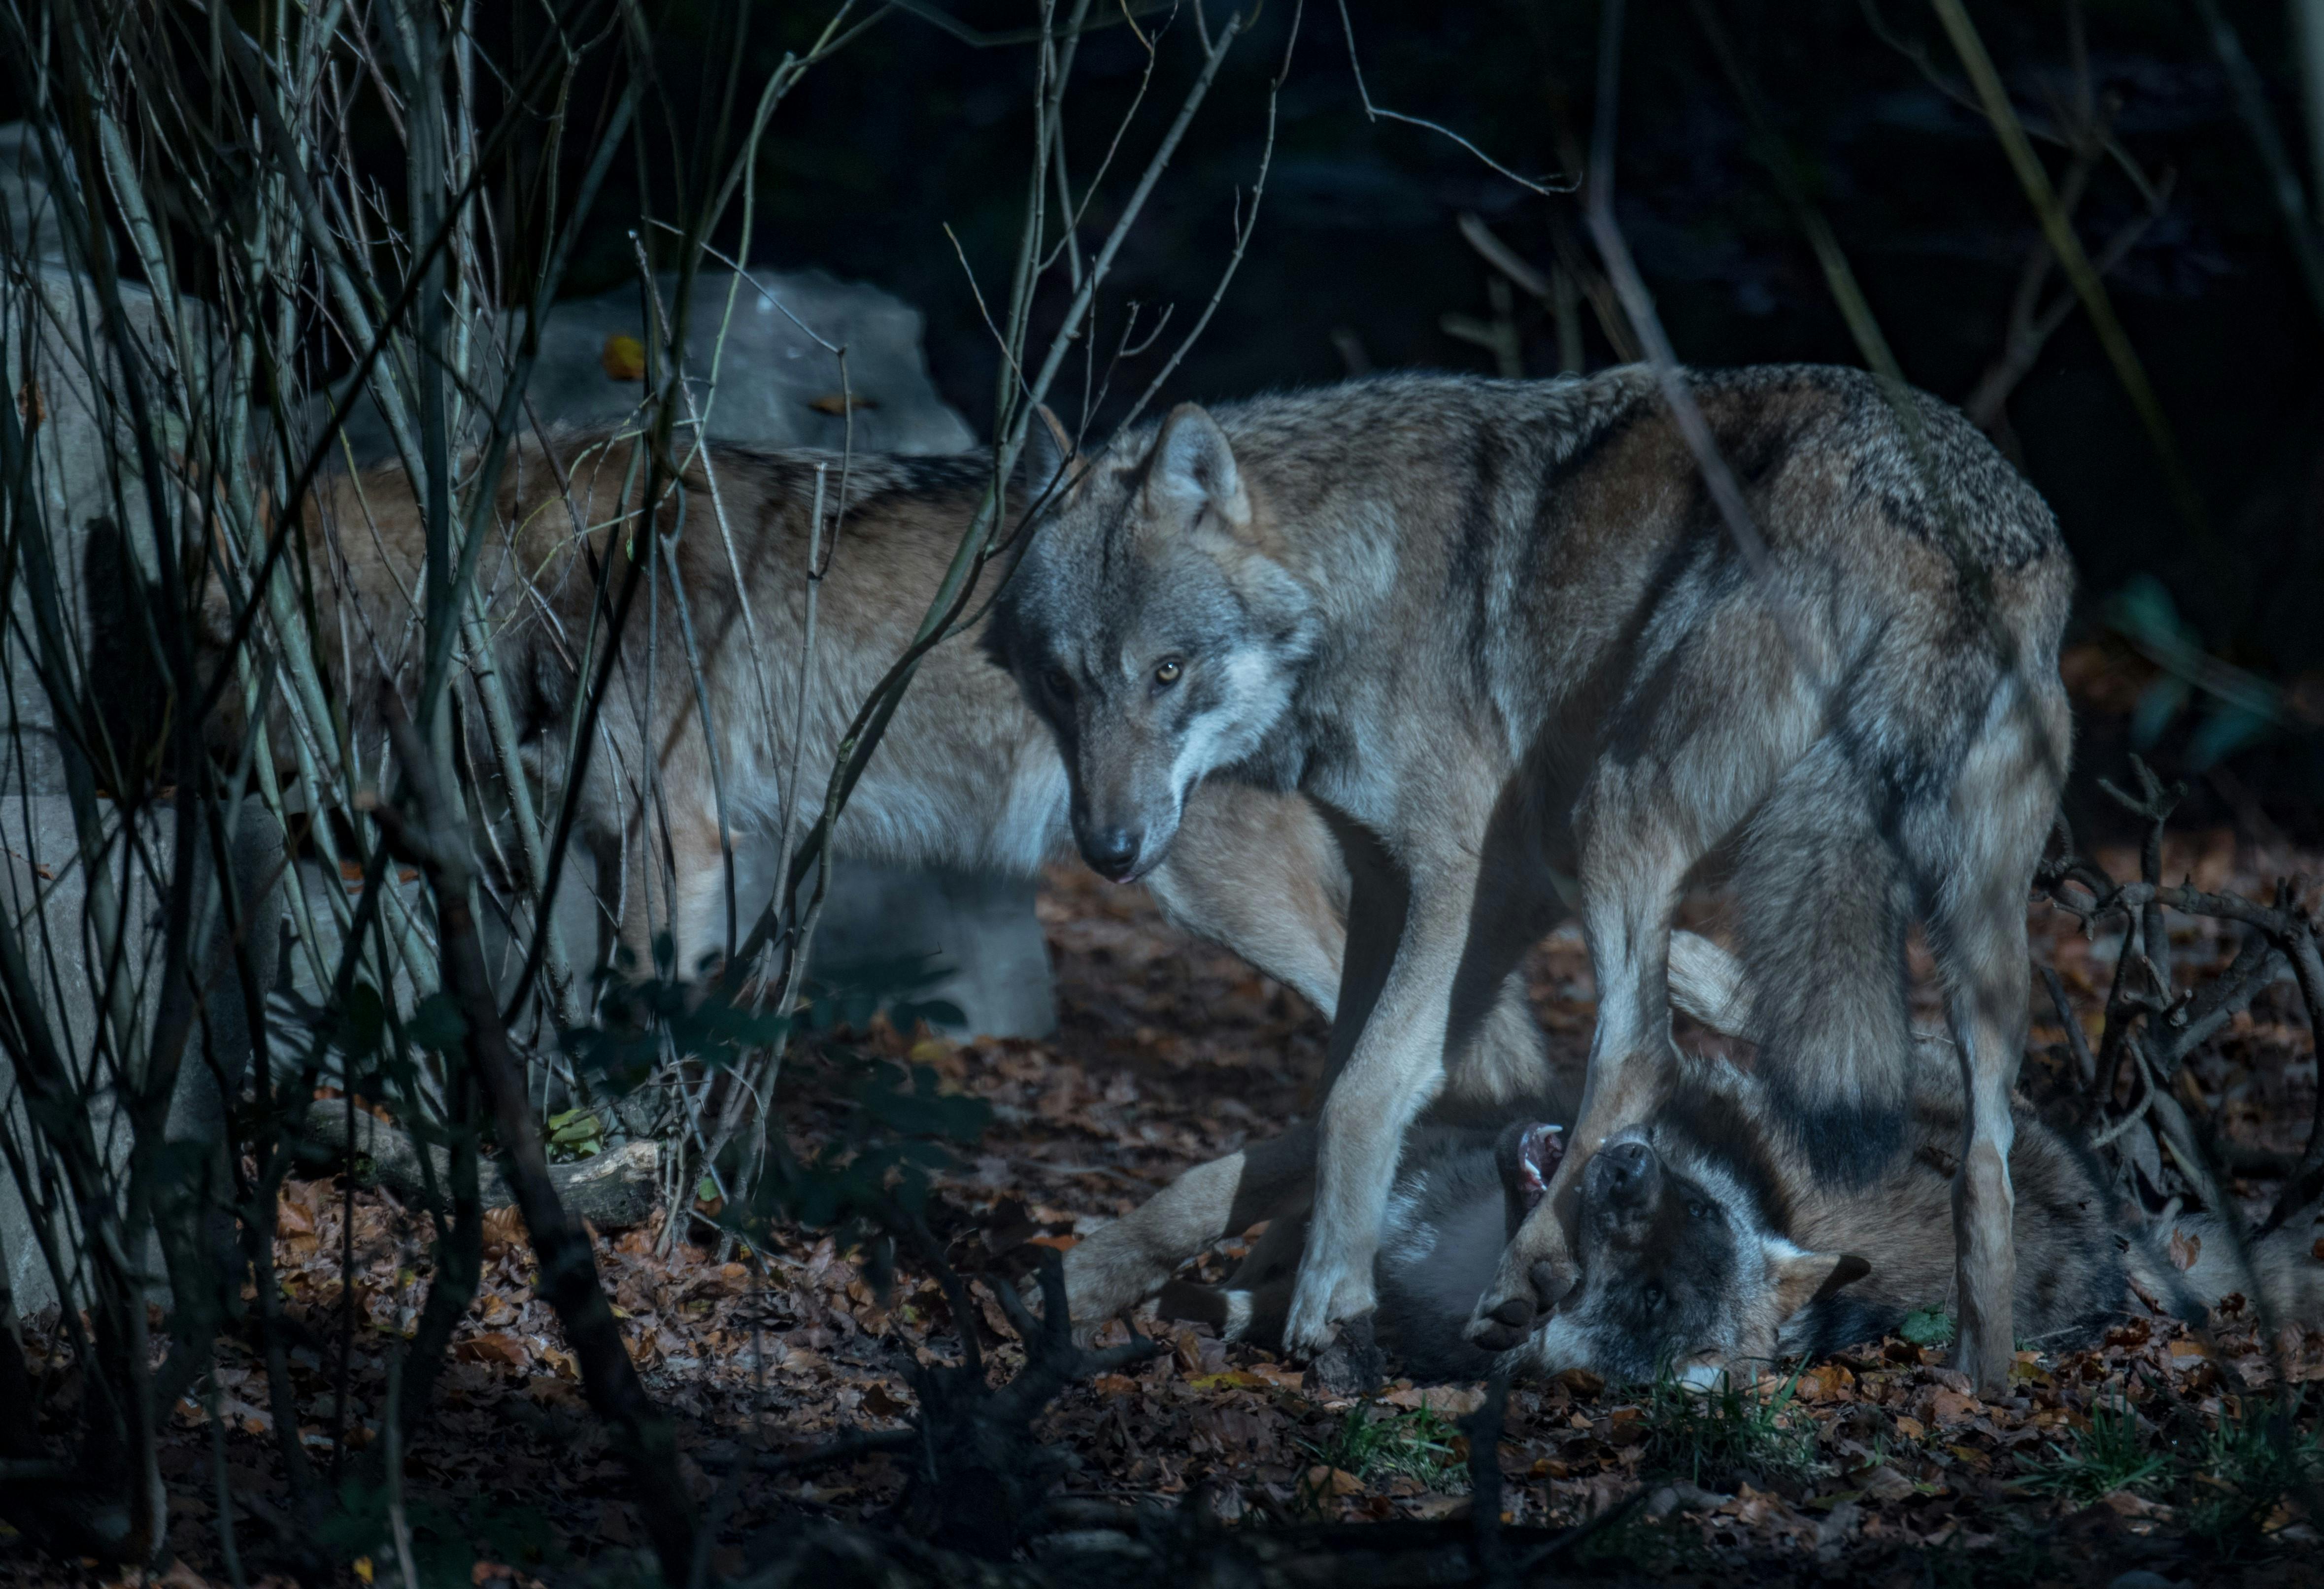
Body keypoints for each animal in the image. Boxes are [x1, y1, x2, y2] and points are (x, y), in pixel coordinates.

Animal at [990, 362, 2082, 1393]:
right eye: (1060, 681)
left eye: (1168, 671)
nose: (1109, 849)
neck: (1351, 584)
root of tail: (1931, 520)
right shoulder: (1411, 894)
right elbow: (1335, 1109)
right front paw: (1095, 1280)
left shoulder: (1467, 878)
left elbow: (1359, 1094)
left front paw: (1329, 1301)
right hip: (1973, 938)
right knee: (1982, 1159)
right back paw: (1981, 1378)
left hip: (1616, 815)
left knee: (1644, 1050)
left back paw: (1528, 1264)